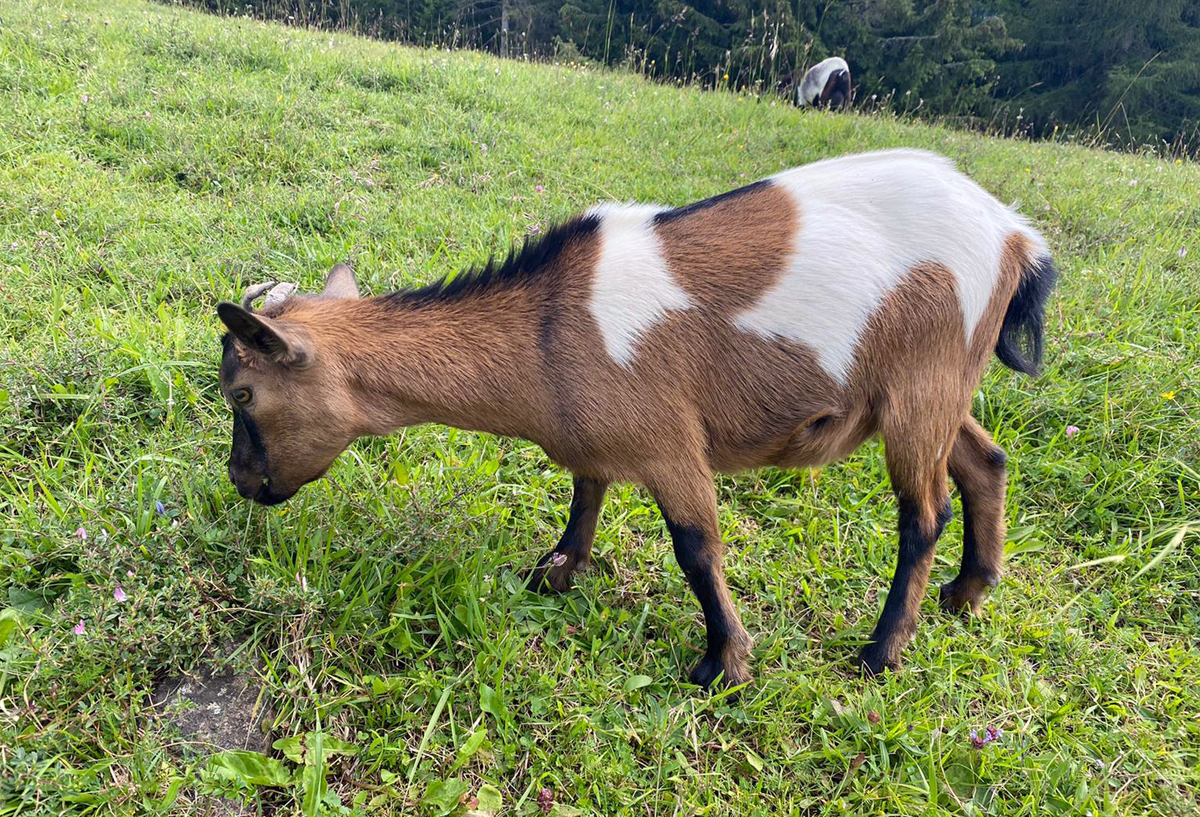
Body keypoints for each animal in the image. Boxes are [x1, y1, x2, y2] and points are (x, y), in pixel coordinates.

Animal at [218, 149, 1060, 686]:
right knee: (985, 460)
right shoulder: (597, 431)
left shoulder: (669, 443)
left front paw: (723, 665)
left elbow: (695, 548)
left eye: (241, 394)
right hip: (933, 388)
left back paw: (882, 652)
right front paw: (556, 571)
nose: (241, 480)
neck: (545, 333)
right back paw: (969, 591)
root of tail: (1016, 235)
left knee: (924, 512)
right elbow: (586, 491)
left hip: (922, 380)